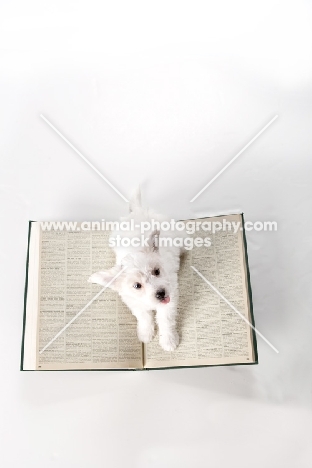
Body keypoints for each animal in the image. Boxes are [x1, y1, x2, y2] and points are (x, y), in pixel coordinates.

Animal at [89, 188, 184, 350]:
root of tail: (137, 210)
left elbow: (165, 320)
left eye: (157, 271)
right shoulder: (134, 303)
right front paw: (145, 333)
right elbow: (144, 317)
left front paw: (168, 340)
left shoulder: (170, 296)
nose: (160, 293)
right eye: (137, 286)